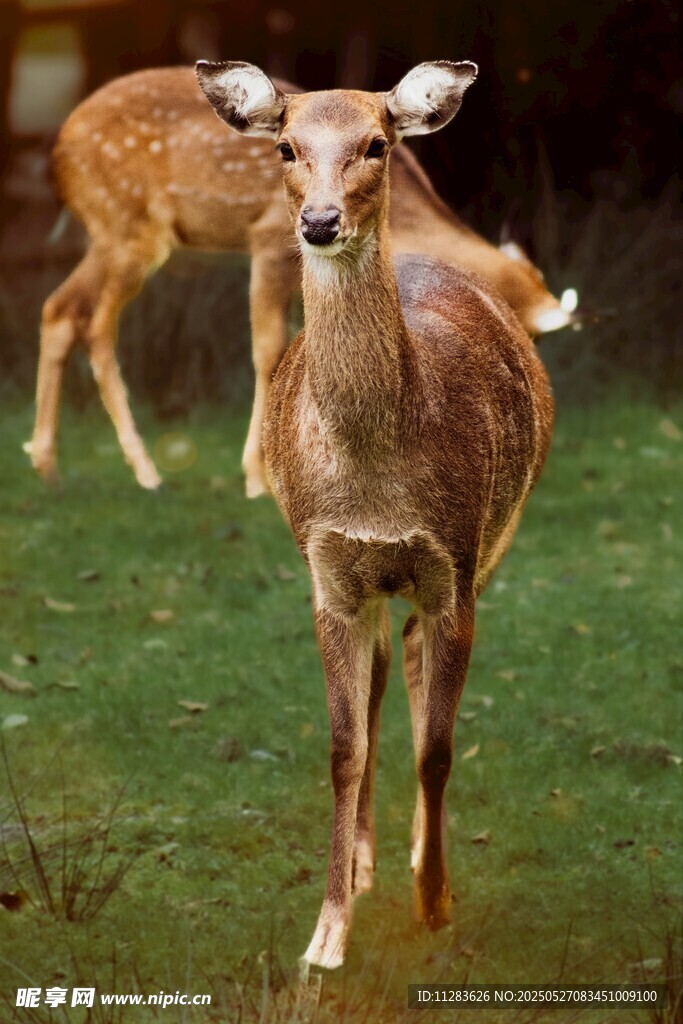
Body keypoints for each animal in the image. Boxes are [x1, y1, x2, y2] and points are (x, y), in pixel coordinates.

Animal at [25, 65, 572, 498]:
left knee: (58, 307)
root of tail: (57, 154)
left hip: (112, 234)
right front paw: (257, 478)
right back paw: (145, 472)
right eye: (528, 333)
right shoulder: (269, 240)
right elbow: (268, 349)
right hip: (128, 227)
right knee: (96, 321)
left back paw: (48, 467)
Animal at [195, 58, 554, 969]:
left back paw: (425, 861)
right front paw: (325, 935)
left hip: (490, 544)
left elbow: (438, 747)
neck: (372, 482)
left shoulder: (453, 562)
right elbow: (342, 745)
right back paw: (364, 862)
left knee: (420, 670)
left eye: (376, 145)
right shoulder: (326, 574)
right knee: (388, 676)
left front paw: (433, 902)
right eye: (284, 147)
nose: (320, 222)